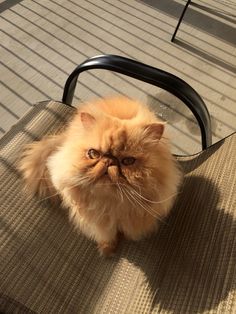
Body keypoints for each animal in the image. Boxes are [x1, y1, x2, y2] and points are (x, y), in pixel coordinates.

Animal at [20, 97, 183, 256]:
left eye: (128, 161)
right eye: (93, 154)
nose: (109, 161)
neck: (110, 205)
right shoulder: (99, 223)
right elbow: (106, 236)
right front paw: (107, 250)